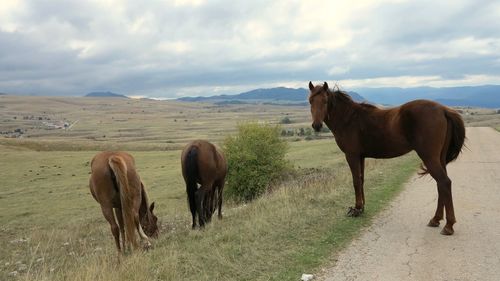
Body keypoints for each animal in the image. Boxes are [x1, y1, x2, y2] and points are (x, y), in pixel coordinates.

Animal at [306, 82, 466, 235]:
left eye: (325, 101)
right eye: (310, 101)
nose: (317, 125)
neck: (349, 119)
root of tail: (443, 110)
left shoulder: (352, 156)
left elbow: (356, 182)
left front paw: (356, 209)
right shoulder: (361, 156)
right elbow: (361, 180)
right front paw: (361, 208)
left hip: (429, 157)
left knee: (444, 182)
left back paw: (449, 225)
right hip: (439, 158)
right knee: (441, 185)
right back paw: (436, 219)